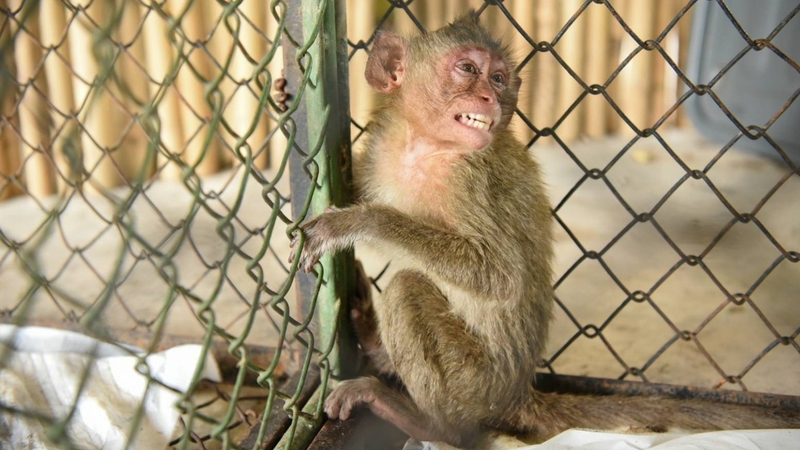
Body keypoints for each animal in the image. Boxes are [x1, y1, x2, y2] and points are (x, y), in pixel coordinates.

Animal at [289, 13, 800, 448]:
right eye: (468, 69)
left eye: (498, 79)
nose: (490, 98)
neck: (427, 147)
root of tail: (518, 392)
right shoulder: (380, 146)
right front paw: (282, 96)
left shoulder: (470, 179)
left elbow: (499, 278)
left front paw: (357, 222)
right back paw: (377, 348)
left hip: (477, 384)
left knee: (407, 291)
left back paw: (433, 425)